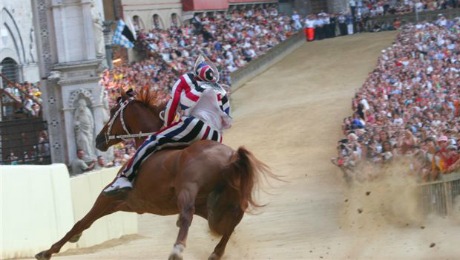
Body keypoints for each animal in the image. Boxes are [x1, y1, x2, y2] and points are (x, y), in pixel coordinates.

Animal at [36, 88, 274, 260]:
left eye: (112, 112)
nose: (98, 139)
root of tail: (231, 158)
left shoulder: (108, 196)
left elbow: (82, 221)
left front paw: (47, 251)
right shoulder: (130, 203)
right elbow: (87, 221)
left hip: (188, 190)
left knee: (187, 216)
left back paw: (177, 250)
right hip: (222, 200)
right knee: (233, 220)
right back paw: (215, 253)